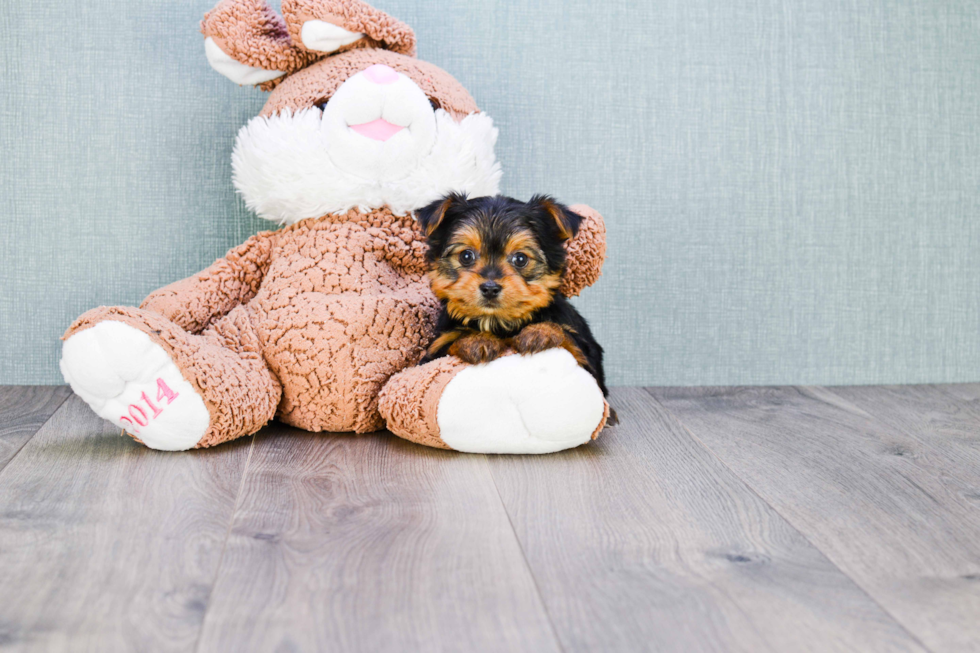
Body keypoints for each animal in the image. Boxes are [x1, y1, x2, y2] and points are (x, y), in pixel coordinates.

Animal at [420, 191, 612, 410]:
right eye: (466, 256)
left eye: (520, 259)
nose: (490, 288)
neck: (500, 322)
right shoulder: (431, 354)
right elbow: (449, 342)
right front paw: (476, 340)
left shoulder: (588, 358)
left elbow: (568, 337)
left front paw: (540, 332)